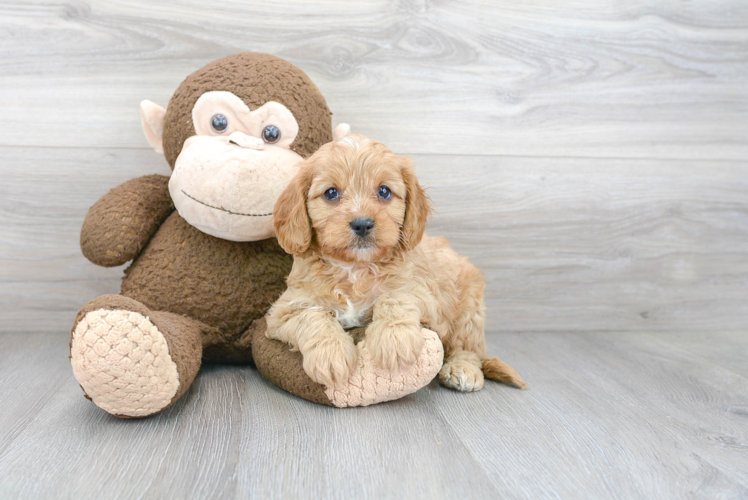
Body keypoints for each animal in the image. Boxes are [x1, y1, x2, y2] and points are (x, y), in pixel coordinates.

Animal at [266, 136, 524, 390]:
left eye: (384, 191)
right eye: (331, 193)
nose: (362, 224)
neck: (355, 268)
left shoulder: (424, 295)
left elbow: (395, 296)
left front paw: (394, 340)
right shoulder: (283, 311)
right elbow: (312, 316)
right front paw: (331, 354)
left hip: (469, 310)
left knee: (468, 348)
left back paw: (463, 369)